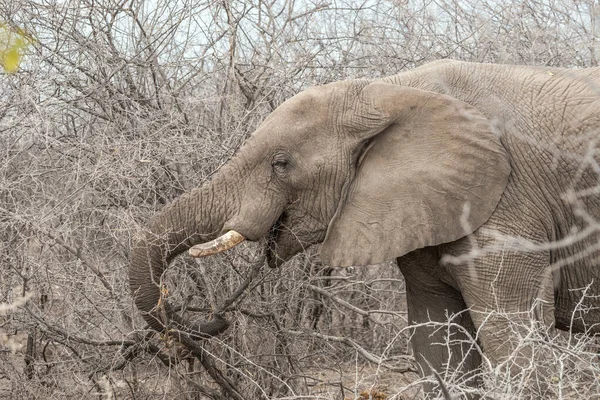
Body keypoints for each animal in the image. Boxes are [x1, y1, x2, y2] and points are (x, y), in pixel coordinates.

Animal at [127, 60, 600, 396]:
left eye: (281, 164)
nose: (210, 322)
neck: (388, 91)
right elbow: (438, 344)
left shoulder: (507, 208)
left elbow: (512, 339)